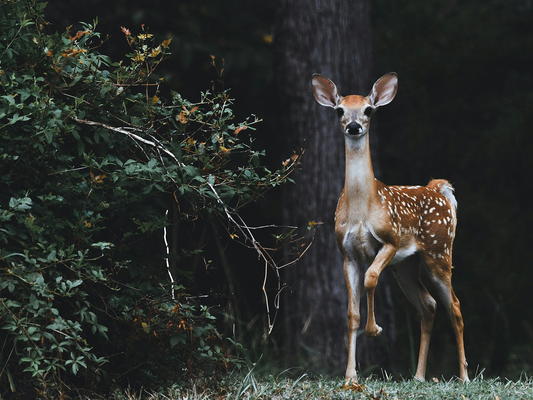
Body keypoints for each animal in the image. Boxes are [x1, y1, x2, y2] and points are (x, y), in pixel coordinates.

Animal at [310, 72, 468, 384]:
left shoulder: (390, 240)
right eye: (339, 110)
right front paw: (350, 376)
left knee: (454, 306)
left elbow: (371, 278)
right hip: (405, 266)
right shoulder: (346, 253)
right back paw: (418, 376)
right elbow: (352, 313)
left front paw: (375, 330)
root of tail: (439, 190)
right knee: (428, 305)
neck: (363, 208)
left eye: (369, 110)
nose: (354, 126)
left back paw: (464, 377)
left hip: (439, 252)